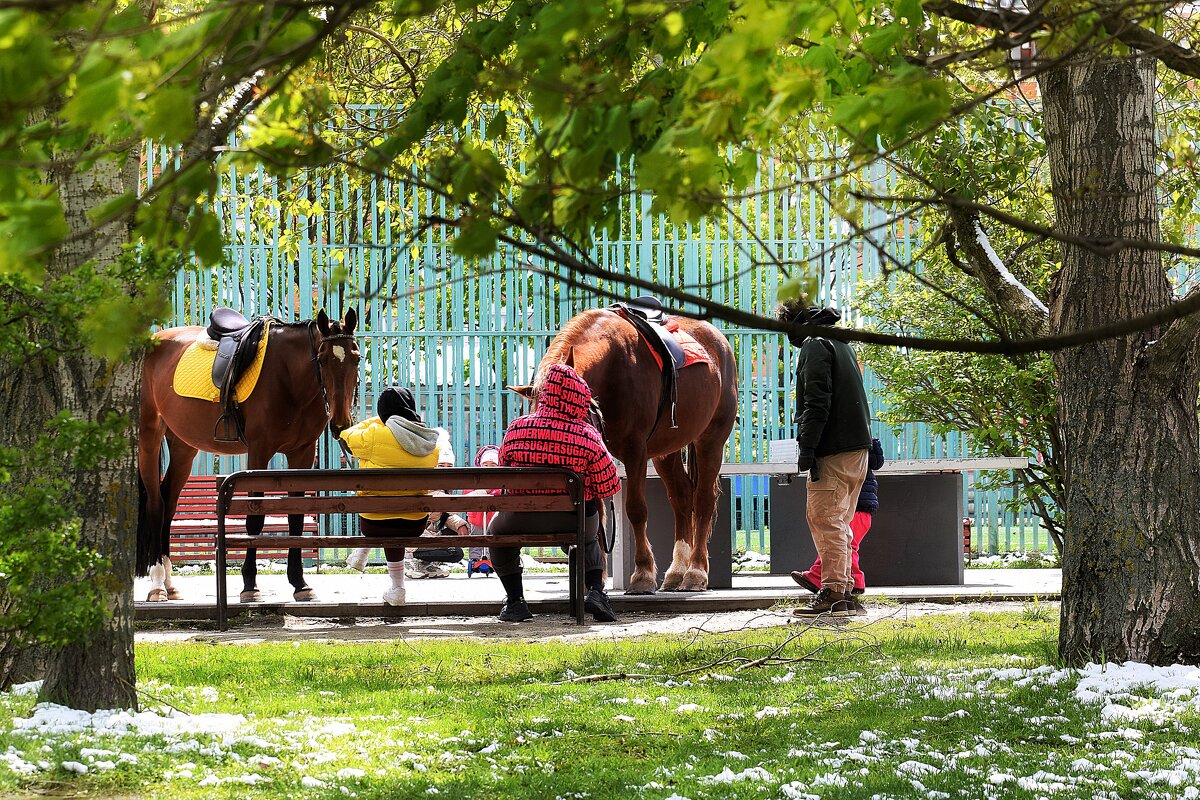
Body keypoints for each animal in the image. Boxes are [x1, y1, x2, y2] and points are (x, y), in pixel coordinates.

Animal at [136, 309, 357, 604]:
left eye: (356, 357)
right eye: (321, 360)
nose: (341, 424)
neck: (289, 377)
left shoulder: (302, 453)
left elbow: (296, 517)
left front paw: (300, 583)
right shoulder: (259, 451)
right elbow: (255, 518)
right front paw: (250, 585)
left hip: (183, 446)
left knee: (169, 504)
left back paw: (171, 585)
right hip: (149, 437)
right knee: (157, 506)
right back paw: (157, 584)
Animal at [518, 307, 739, 594]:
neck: (614, 366)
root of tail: (719, 341)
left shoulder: (636, 450)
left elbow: (636, 509)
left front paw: (642, 573)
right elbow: (597, 514)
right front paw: (594, 577)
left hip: (710, 440)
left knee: (703, 500)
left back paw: (695, 571)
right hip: (666, 450)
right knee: (682, 497)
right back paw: (677, 571)